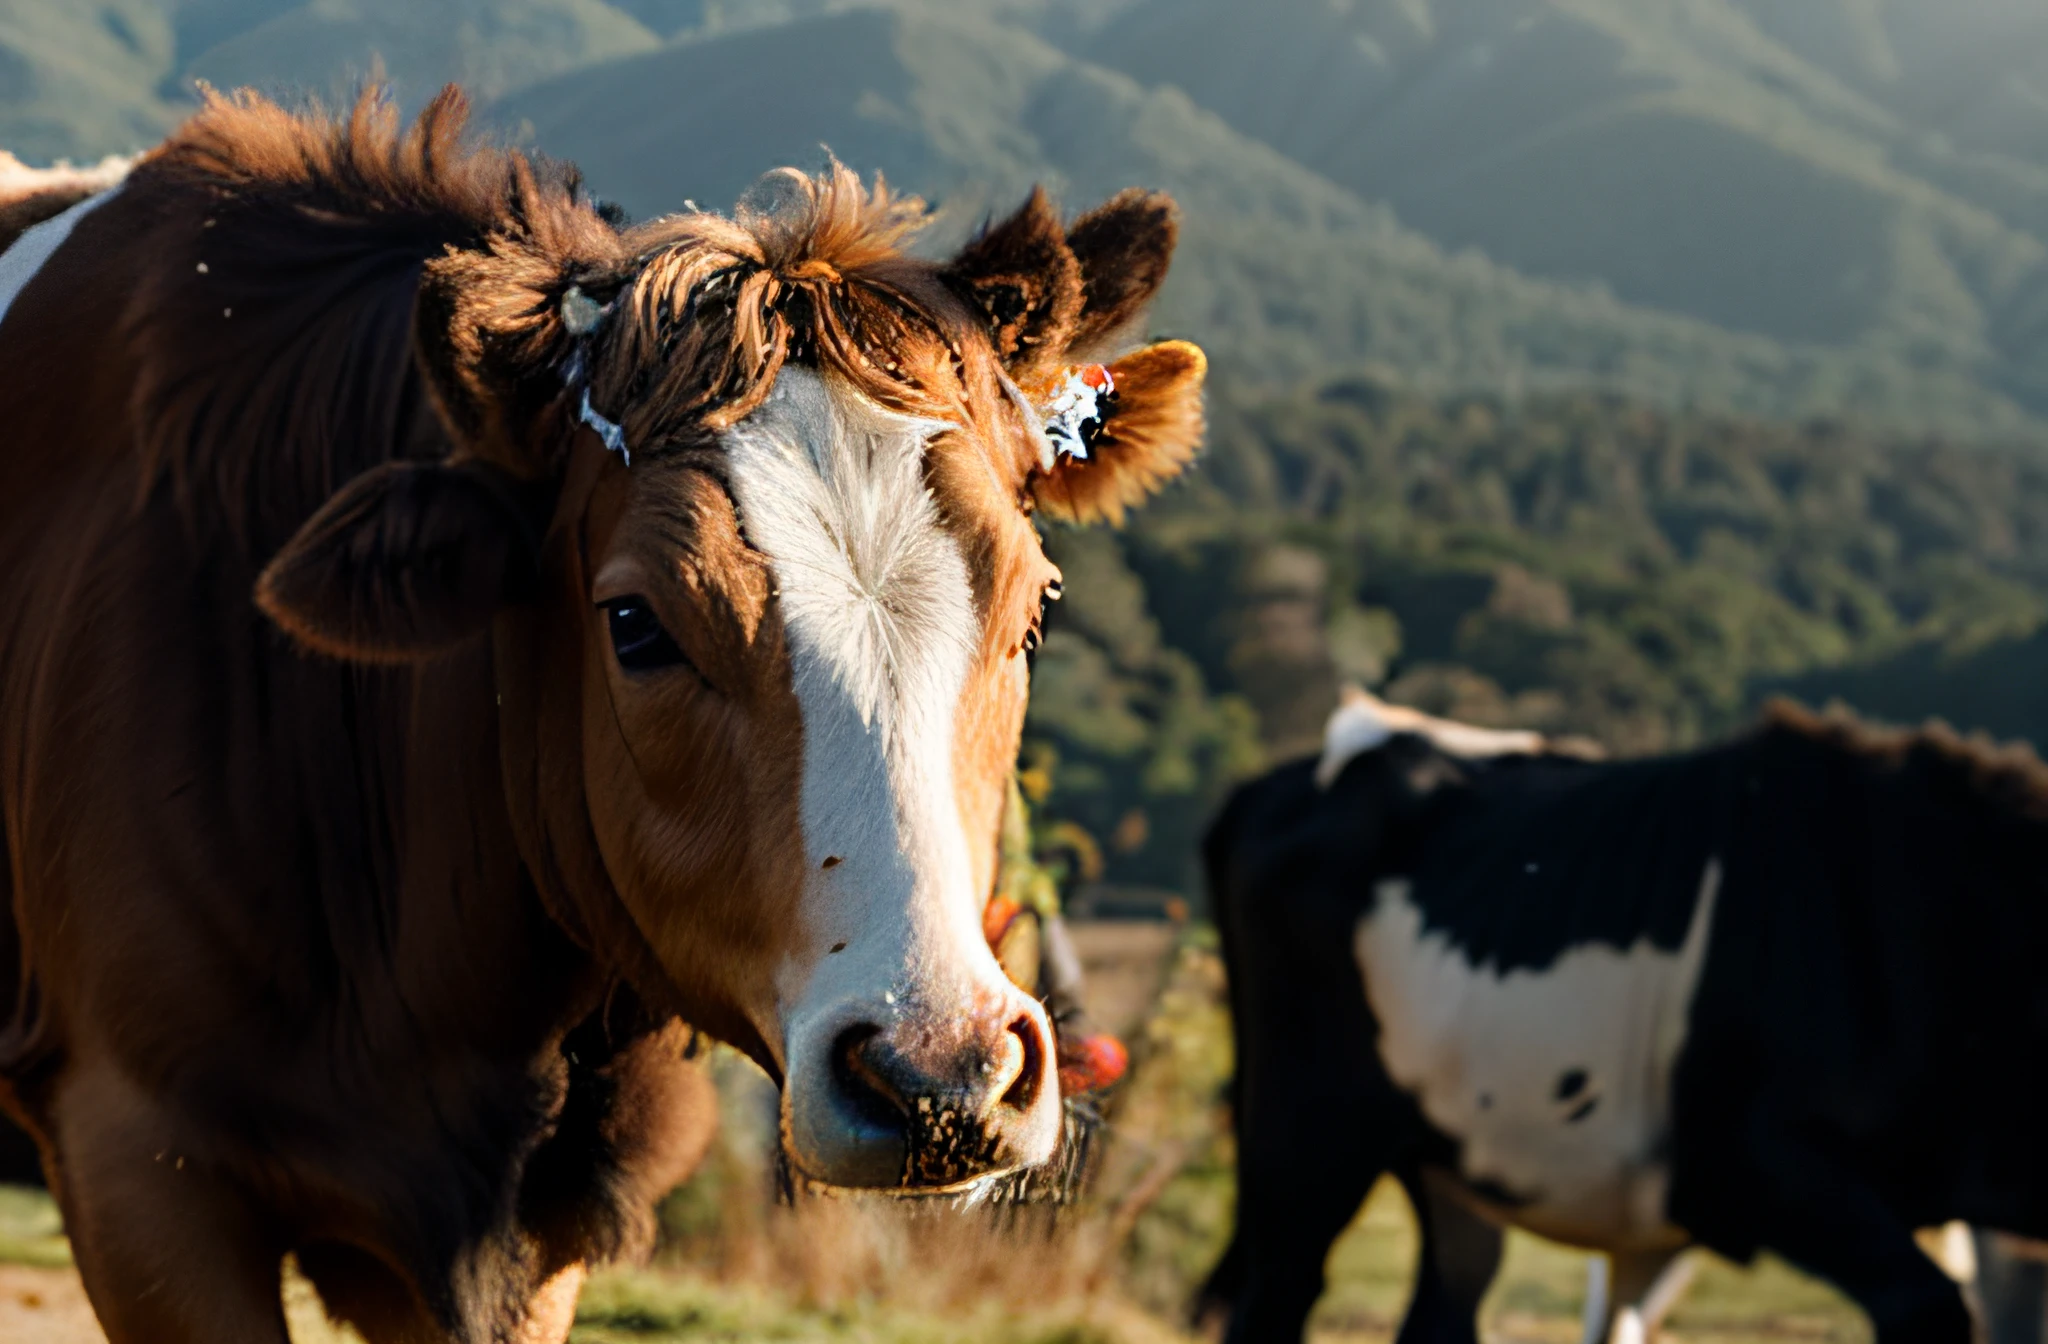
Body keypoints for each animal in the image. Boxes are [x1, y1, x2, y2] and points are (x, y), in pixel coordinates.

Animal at [1196, 692, 2048, 1344]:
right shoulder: (1746, 1167)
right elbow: (1932, 1306)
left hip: (1448, 1157)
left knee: (1444, 1310)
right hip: (1302, 1142)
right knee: (1276, 1297)